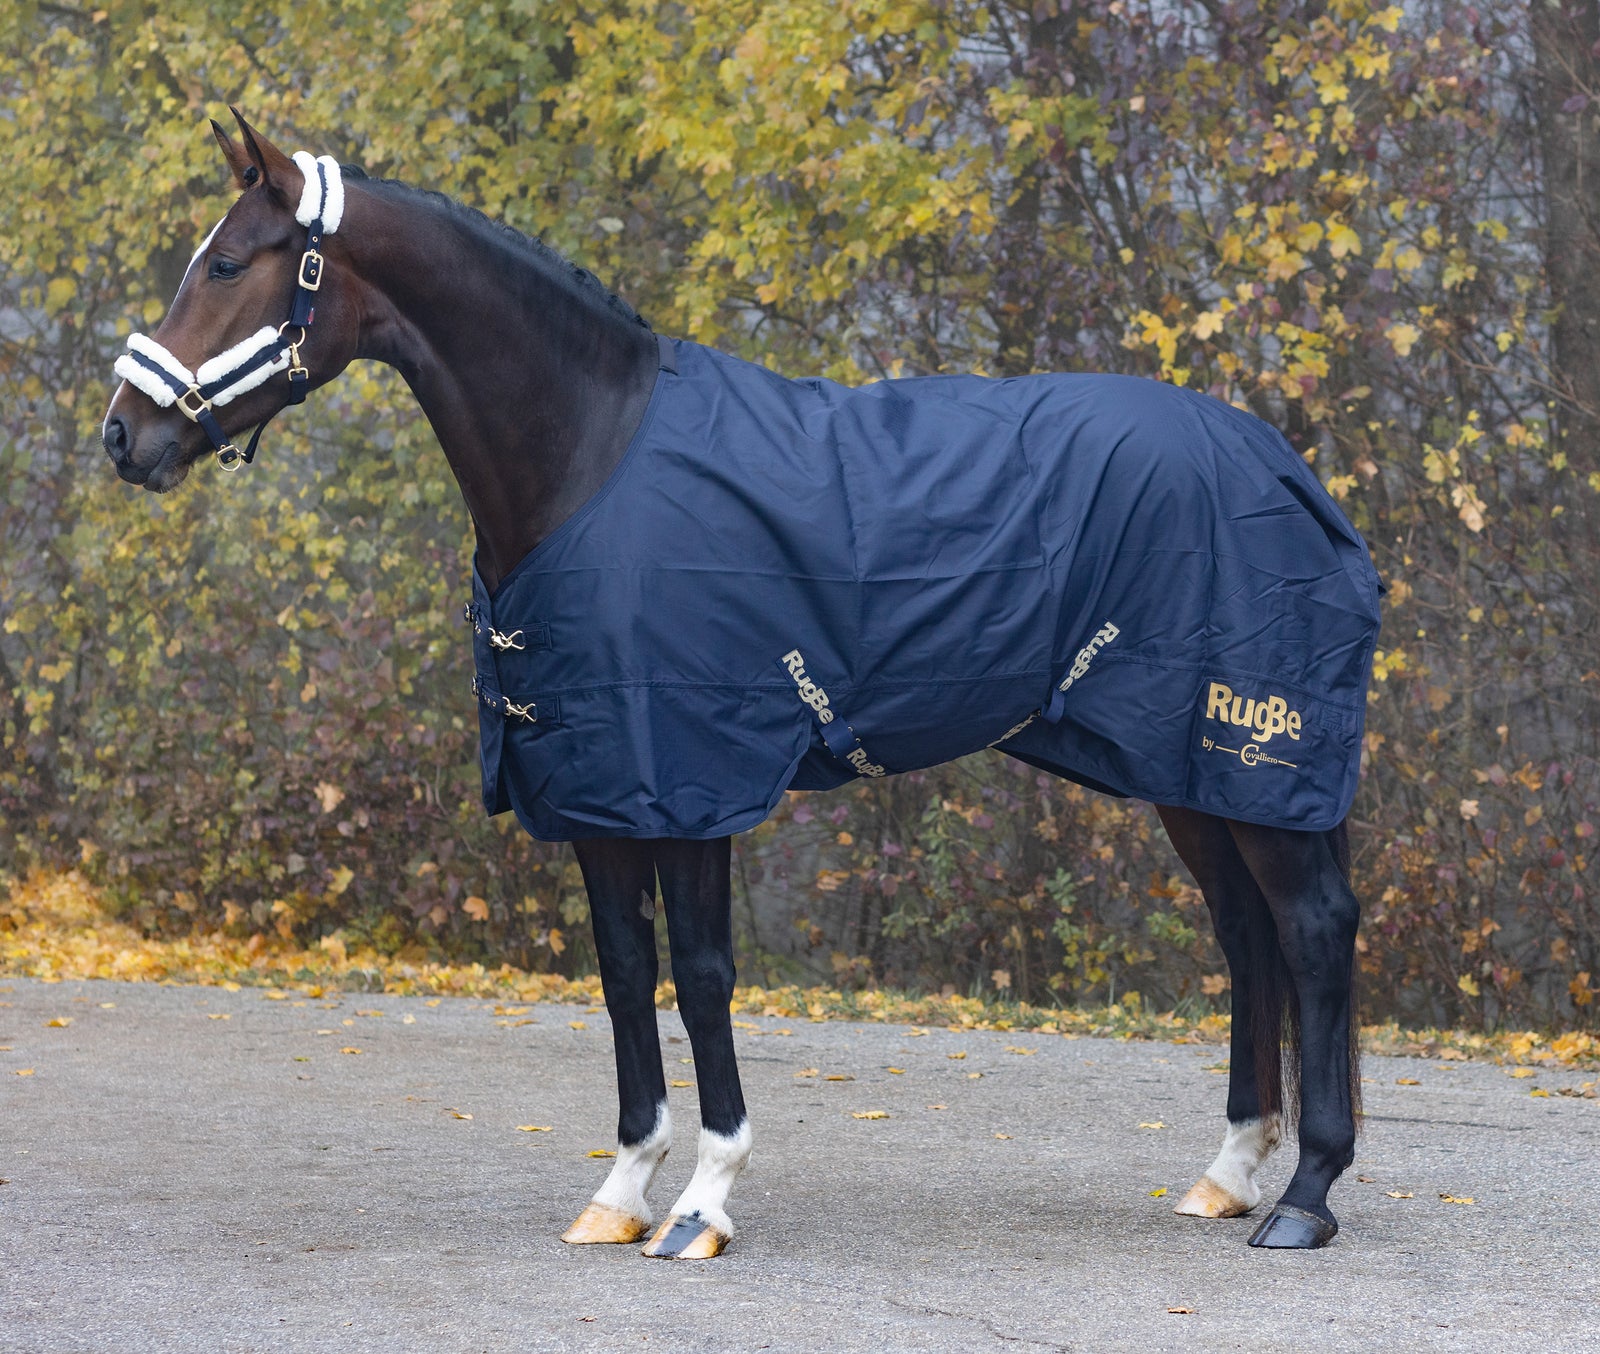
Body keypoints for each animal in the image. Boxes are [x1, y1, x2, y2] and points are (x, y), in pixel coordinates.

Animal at [103, 116, 1376, 1261]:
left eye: (229, 263)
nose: (124, 437)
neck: (588, 460)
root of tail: (1278, 463)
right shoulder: (597, 793)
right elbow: (625, 975)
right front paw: (622, 1190)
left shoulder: (689, 785)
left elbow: (704, 978)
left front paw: (704, 1202)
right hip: (1185, 770)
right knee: (1246, 938)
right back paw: (1227, 1174)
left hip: (1251, 755)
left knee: (1311, 929)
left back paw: (1304, 1195)